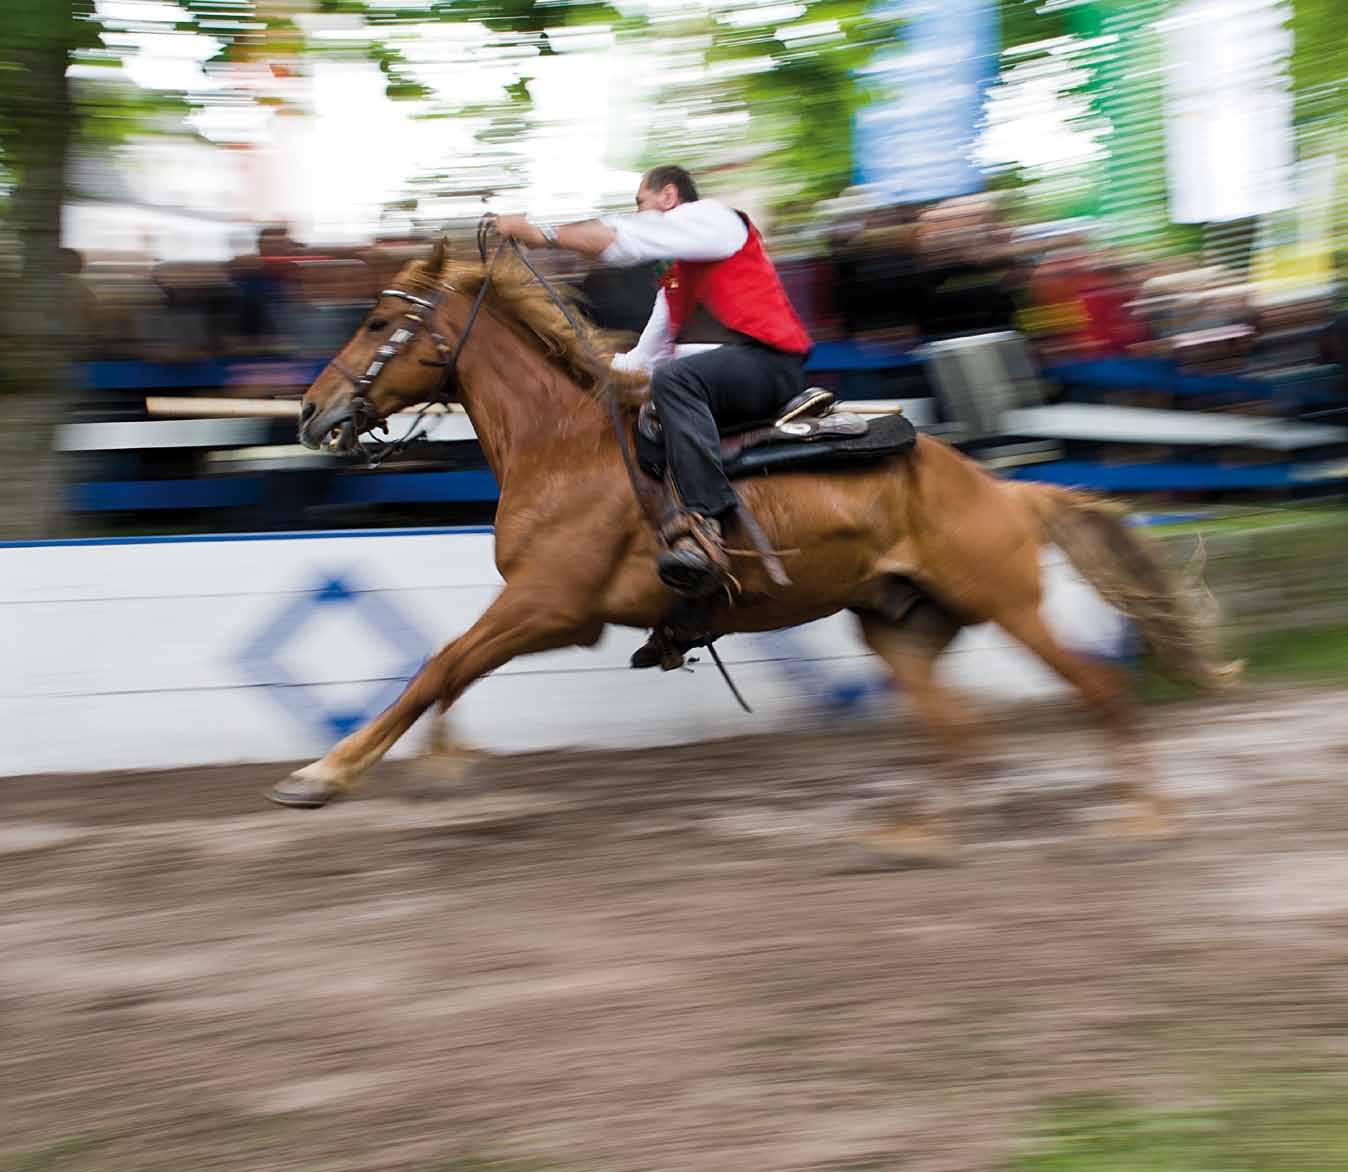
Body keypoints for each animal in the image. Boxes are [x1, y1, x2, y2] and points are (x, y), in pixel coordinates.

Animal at [268, 235, 1238, 861]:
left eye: (376, 320)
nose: (312, 412)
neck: (564, 444)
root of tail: (1000, 488)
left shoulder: (550, 605)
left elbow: (438, 664)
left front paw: (324, 774)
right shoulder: (542, 611)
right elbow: (452, 670)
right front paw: (425, 763)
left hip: (1007, 603)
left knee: (1100, 689)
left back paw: (1145, 819)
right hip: (900, 624)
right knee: (959, 732)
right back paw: (917, 835)